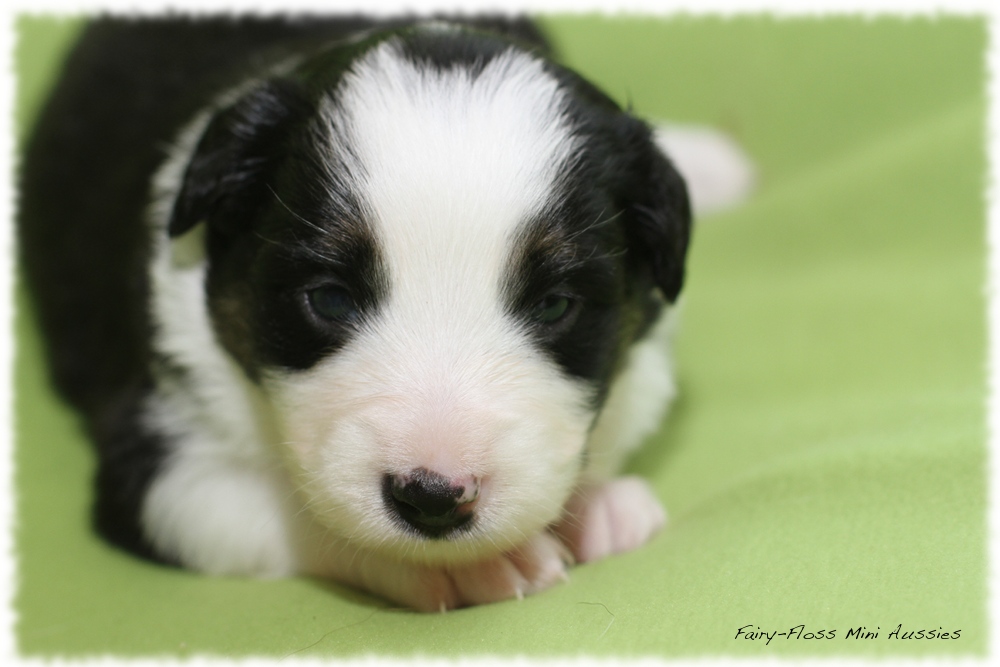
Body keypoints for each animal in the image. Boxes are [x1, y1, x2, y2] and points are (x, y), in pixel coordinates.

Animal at [19, 15, 752, 612]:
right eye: (329, 299)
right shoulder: (159, 462)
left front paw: (597, 503)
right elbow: (297, 508)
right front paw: (480, 563)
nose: (432, 498)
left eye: (553, 305)